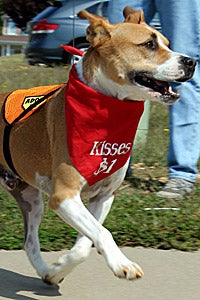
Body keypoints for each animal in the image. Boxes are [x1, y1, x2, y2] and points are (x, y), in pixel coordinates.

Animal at [0, 6, 196, 284]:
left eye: (167, 43)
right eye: (149, 44)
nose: (191, 62)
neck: (106, 112)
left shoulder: (103, 196)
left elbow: (87, 242)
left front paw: (60, 268)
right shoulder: (64, 195)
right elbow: (102, 233)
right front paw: (123, 263)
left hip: (31, 199)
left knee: (29, 242)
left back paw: (46, 271)